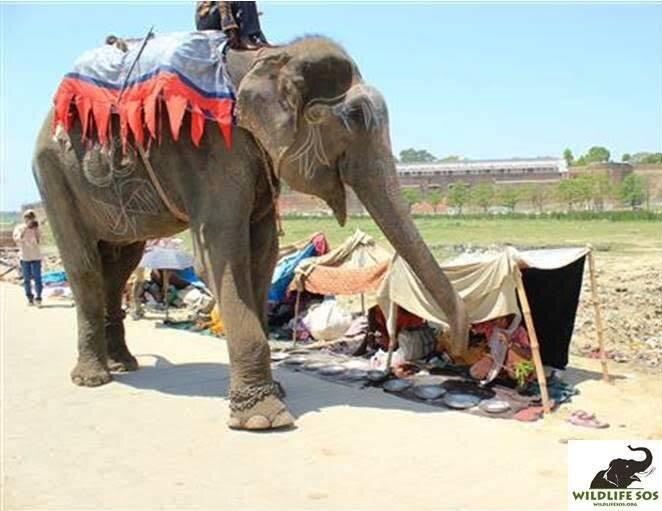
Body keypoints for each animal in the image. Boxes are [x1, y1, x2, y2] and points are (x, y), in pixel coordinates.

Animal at [32, 36, 469, 430]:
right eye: (357, 117)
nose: (456, 345)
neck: (268, 57)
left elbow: (263, 255)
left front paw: (274, 393)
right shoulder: (207, 151)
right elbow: (221, 257)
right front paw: (264, 418)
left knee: (121, 263)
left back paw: (125, 364)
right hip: (53, 177)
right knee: (85, 265)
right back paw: (93, 378)